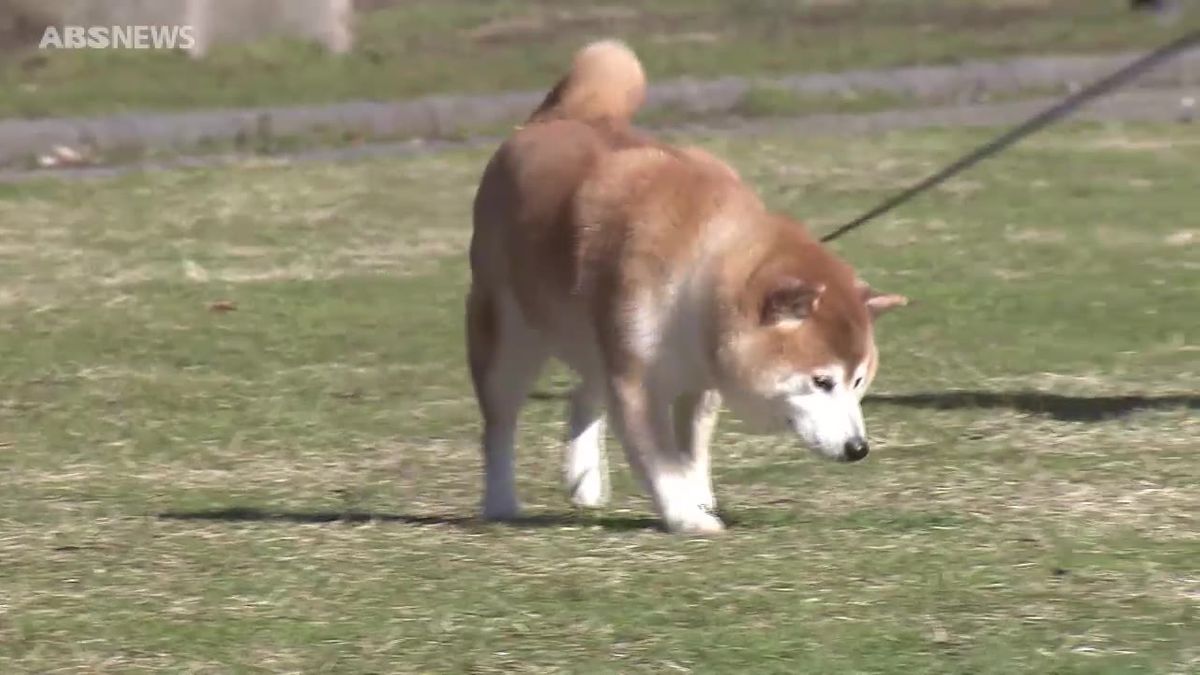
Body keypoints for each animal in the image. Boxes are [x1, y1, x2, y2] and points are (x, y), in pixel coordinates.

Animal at [463, 39, 902, 533]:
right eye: (822, 381)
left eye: (859, 380)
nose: (858, 448)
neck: (699, 259)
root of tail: (556, 118)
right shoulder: (636, 382)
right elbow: (661, 461)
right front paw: (689, 517)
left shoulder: (700, 381)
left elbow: (690, 456)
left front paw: (700, 501)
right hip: (508, 334)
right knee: (499, 423)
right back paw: (500, 501)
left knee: (584, 393)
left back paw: (585, 481)